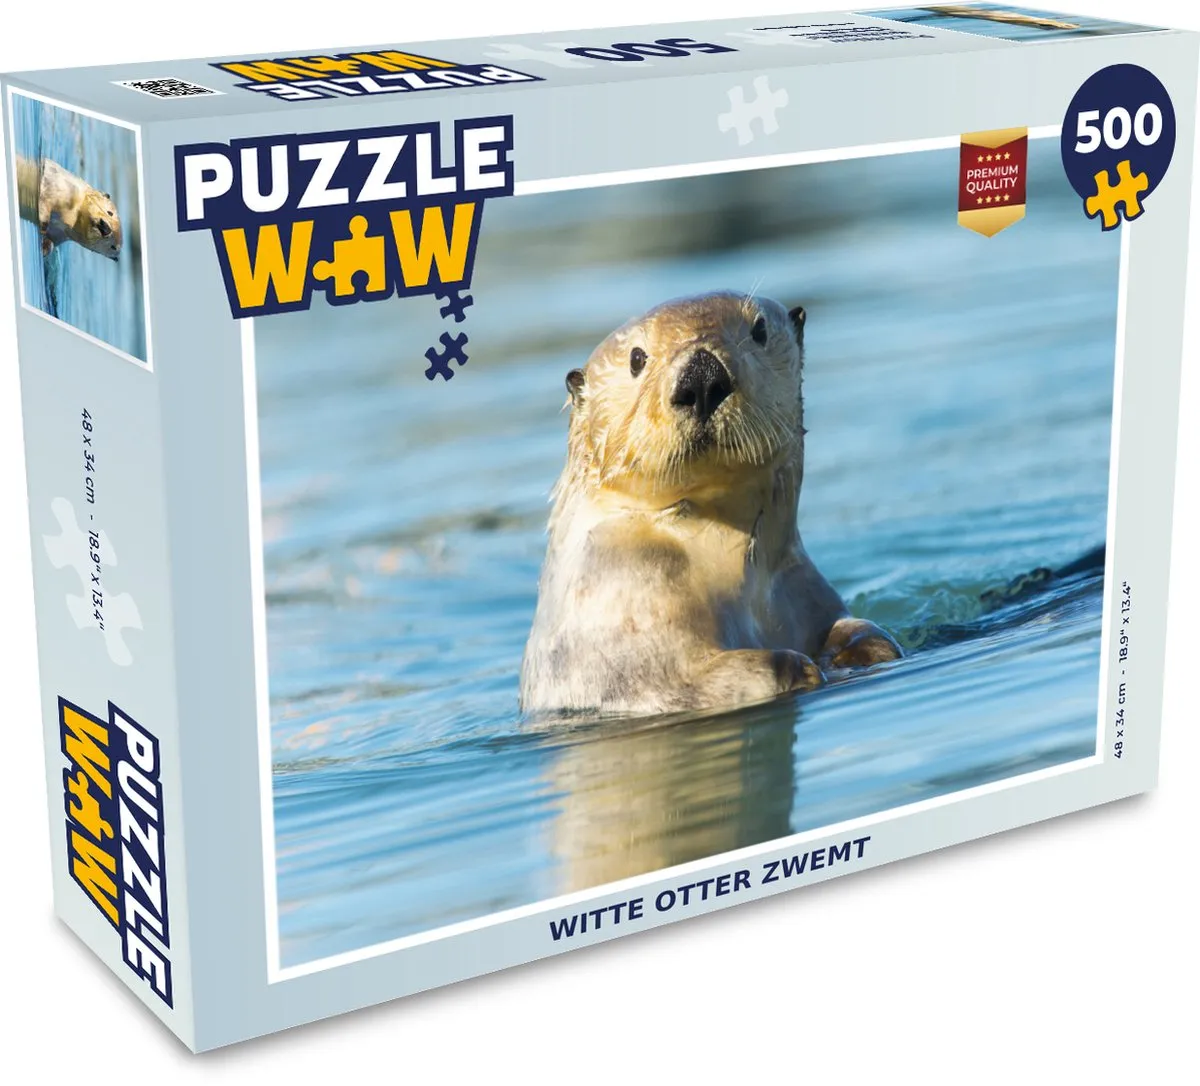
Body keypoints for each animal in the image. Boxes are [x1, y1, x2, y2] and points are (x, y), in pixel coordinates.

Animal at [520, 291, 901, 717]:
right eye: (636, 358)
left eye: (759, 329)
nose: (702, 377)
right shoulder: (626, 601)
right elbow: (680, 679)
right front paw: (799, 667)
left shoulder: (801, 585)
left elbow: (855, 627)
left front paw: (863, 649)